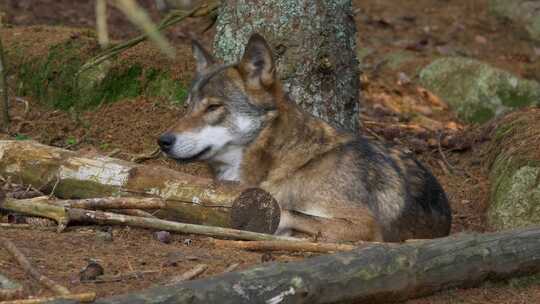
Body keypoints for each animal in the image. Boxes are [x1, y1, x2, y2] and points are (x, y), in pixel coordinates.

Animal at [157, 33, 452, 242]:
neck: (288, 164)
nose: (163, 141)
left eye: (213, 107)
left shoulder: (364, 224)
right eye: (187, 107)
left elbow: (288, 212)